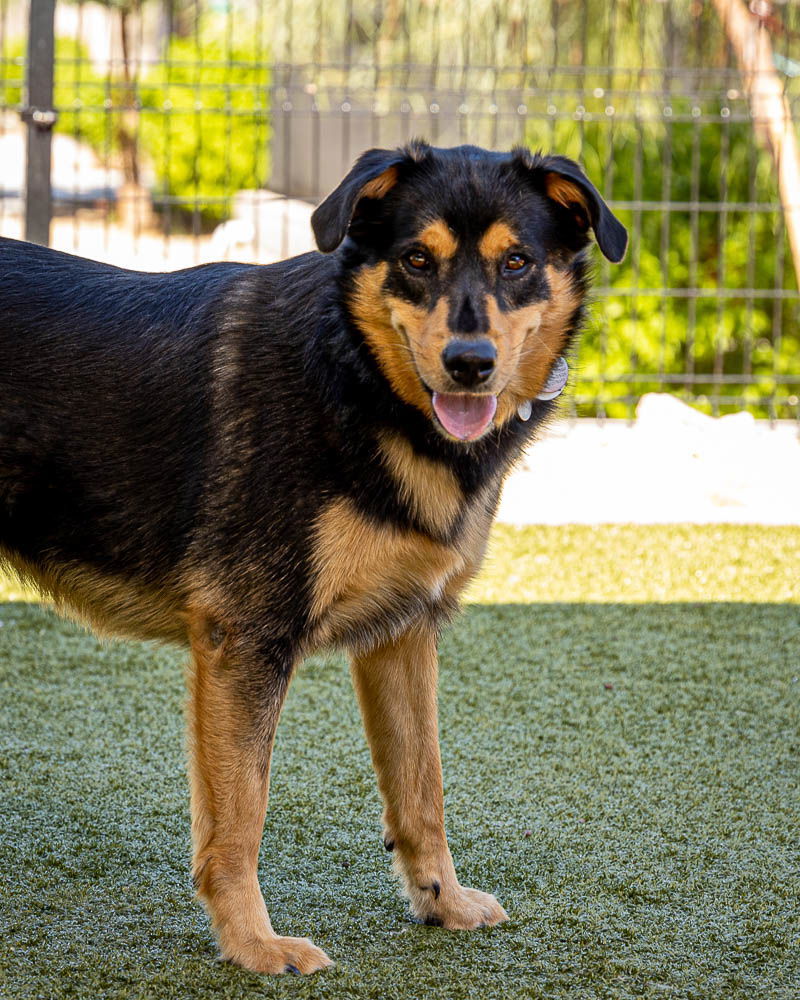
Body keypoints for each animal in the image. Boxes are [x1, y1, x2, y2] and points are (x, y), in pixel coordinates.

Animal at [0, 143, 624, 976]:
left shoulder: (404, 635)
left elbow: (423, 791)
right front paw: (253, 944)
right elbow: (240, 816)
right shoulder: (247, 641)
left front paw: (443, 903)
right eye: (416, 259)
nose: (470, 363)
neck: (355, 373)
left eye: (517, 261)